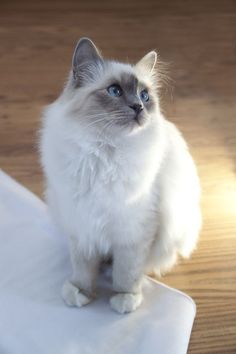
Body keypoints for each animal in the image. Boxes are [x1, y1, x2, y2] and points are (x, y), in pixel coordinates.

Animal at [39, 37, 202, 312]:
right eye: (114, 91)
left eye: (145, 96)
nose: (138, 107)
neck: (105, 154)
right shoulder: (81, 223)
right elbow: (83, 268)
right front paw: (80, 292)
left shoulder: (134, 231)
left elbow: (127, 271)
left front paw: (125, 299)